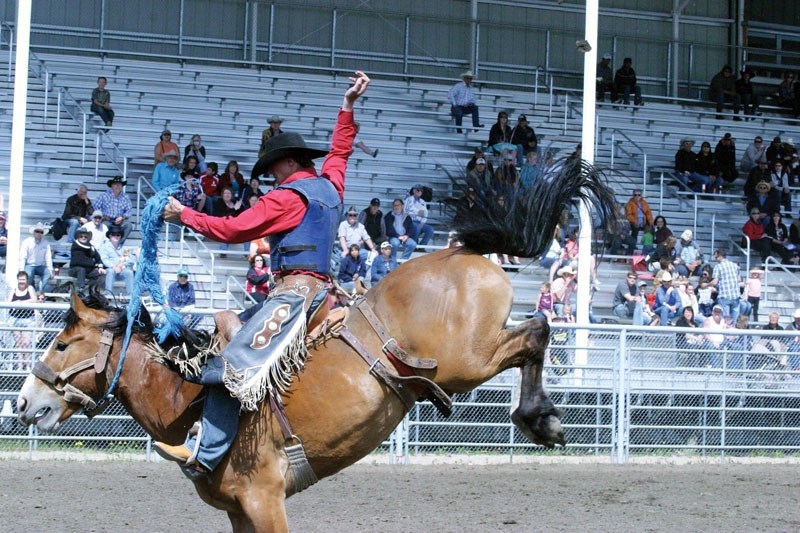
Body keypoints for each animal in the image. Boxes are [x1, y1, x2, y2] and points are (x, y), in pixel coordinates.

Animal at [17, 161, 620, 528]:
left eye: (63, 343)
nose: (23, 401)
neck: (183, 394)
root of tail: (466, 250)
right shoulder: (238, 512)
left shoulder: (264, 500)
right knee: (536, 332)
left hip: (469, 360)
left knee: (536, 332)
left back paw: (541, 418)